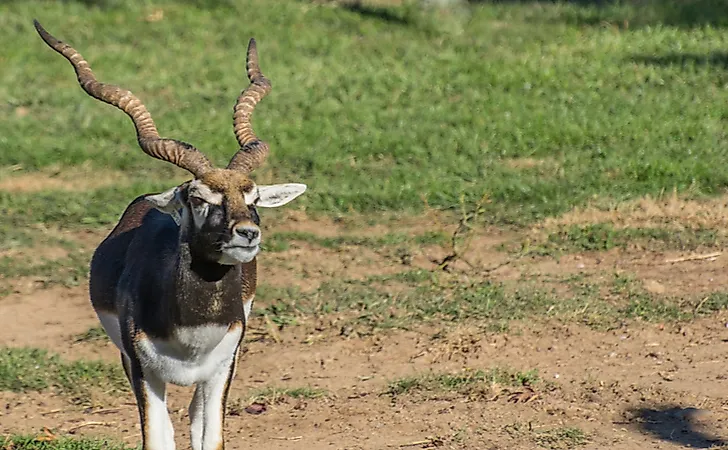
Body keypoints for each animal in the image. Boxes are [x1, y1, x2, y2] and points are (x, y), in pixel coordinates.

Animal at [34, 19, 306, 448]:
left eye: (254, 197)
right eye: (197, 198)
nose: (247, 234)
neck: (191, 334)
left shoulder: (223, 365)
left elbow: (211, 436)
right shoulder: (143, 368)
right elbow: (157, 438)